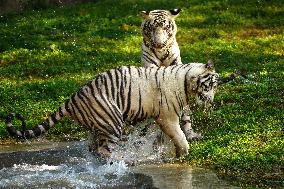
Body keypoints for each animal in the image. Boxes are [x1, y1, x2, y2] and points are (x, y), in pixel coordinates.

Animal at [6, 61, 220, 158]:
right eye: (209, 86)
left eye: (216, 86)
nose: (211, 101)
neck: (185, 81)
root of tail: (73, 98)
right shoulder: (167, 117)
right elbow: (178, 135)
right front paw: (183, 152)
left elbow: (159, 137)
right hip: (112, 121)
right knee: (105, 150)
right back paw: (120, 162)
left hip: (97, 125)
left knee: (94, 148)